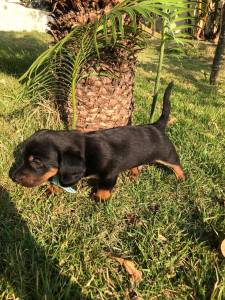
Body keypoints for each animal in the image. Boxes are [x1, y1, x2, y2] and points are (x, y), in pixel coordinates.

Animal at [10, 81, 185, 200]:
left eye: (37, 162)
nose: (13, 178)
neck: (87, 152)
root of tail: (157, 125)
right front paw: (52, 190)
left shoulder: (110, 174)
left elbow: (104, 188)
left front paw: (99, 199)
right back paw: (134, 174)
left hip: (167, 155)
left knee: (177, 165)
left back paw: (181, 179)